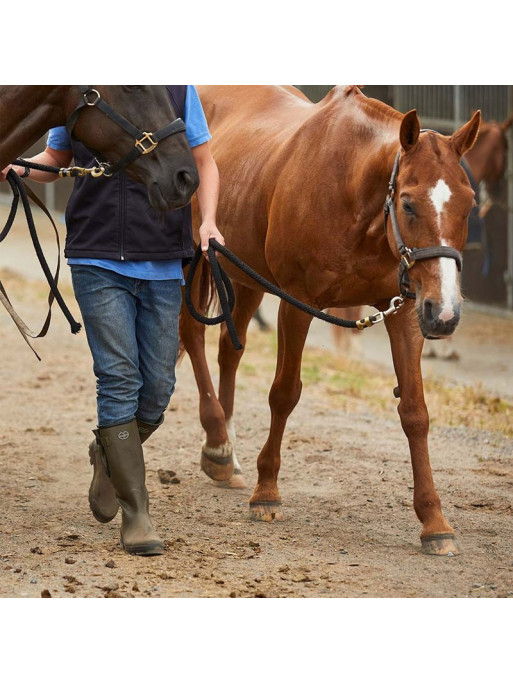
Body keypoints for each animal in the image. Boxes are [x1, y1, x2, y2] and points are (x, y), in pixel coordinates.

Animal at [181, 85, 480, 556]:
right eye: (409, 204)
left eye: (468, 205)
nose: (446, 312)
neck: (353, 195)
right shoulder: (297, 304)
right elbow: (284, 393)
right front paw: (267, 493)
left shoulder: (405, 310)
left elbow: (415, 412)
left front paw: (434, 521)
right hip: (195, 261)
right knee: (191, 335)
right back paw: (217, 437)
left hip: (244, 275)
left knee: (230, 349)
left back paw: (222, 453)